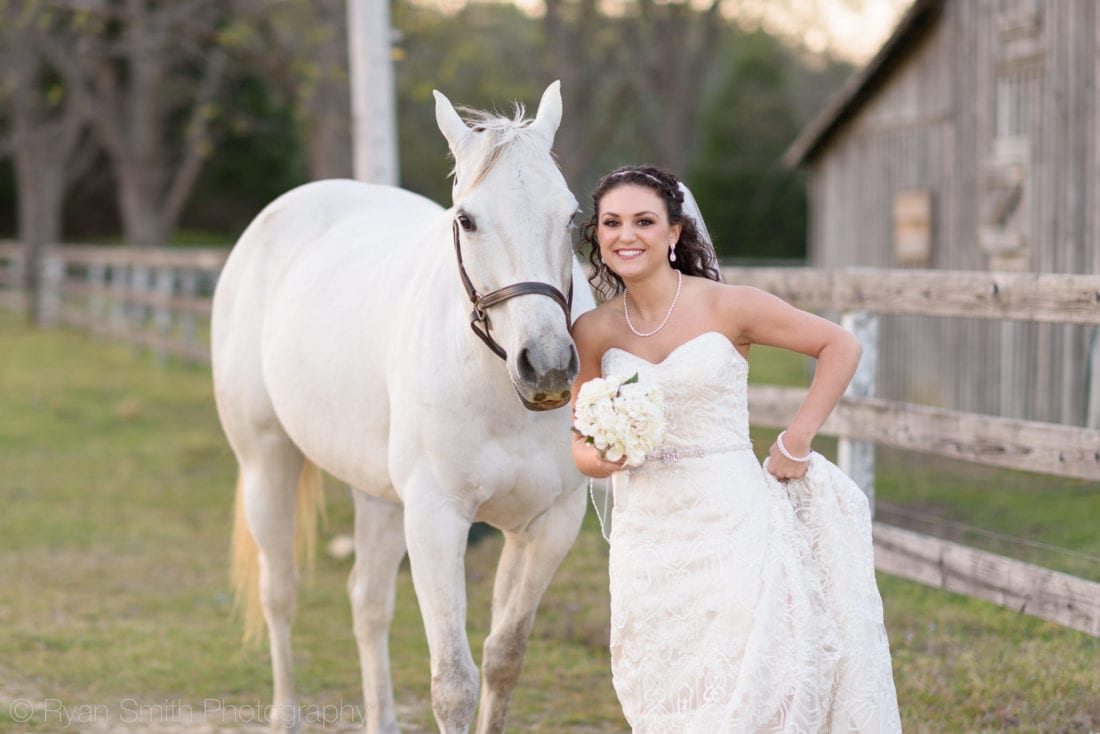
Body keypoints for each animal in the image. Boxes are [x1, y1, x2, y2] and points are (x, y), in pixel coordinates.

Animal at [211, 81, 598, 734]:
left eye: (571, 215)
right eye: (466, 220)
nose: (546, 365)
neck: (500, 394)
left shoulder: (548, 525)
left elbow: (504, 658)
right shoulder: (437, 520)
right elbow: (454, 684)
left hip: (380, 497)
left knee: (367, 602)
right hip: (267, 462)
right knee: (279, 594)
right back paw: (285, 713)